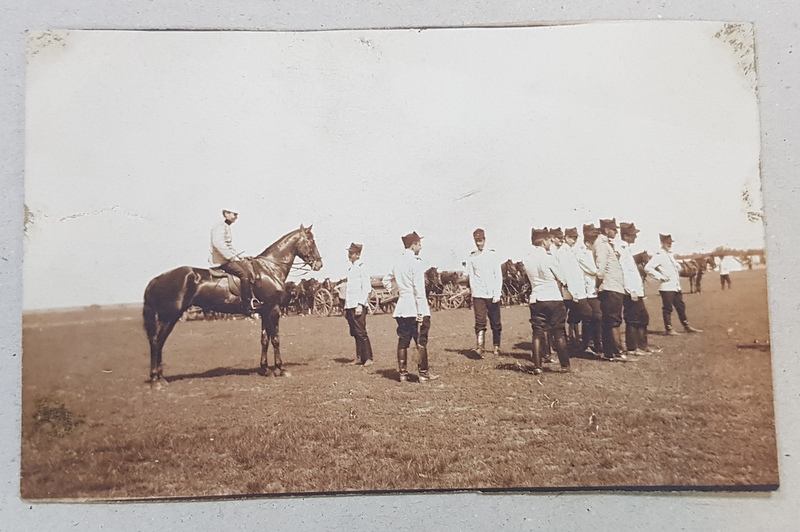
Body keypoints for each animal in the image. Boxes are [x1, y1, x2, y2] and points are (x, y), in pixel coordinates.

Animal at [144, 225, 322, 386]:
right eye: (312, 241)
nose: (319, 264)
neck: (269, 269)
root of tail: (159, 278)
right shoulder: (273, 309)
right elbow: (276, 339)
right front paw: (281, 369)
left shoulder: (264, 311)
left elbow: (264, 339)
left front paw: (265, 369)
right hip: (169, 316)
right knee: (157, 341)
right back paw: (156, 380)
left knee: (158, 342)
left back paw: (159, 378)